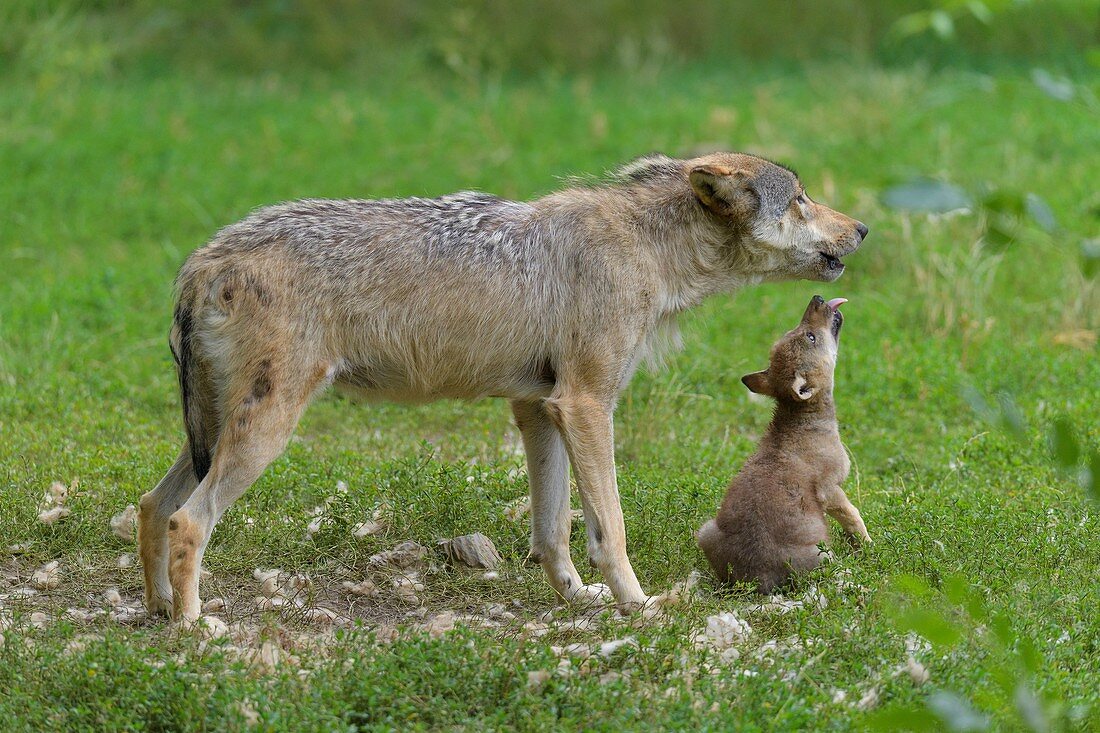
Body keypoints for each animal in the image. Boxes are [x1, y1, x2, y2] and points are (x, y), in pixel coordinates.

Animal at [139, 150, 866, 620]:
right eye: (799, 200)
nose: (862, 228)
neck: (648, 248)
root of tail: (205, 259)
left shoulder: (539, 407)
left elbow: (554, 533)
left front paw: (578, 600)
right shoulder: (586, 405)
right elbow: (611, 530)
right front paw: (640, 604)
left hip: (216, 431)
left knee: (152, 505)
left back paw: (159, 609)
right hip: (266, 431)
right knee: (187, 518)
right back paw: (196, 626)